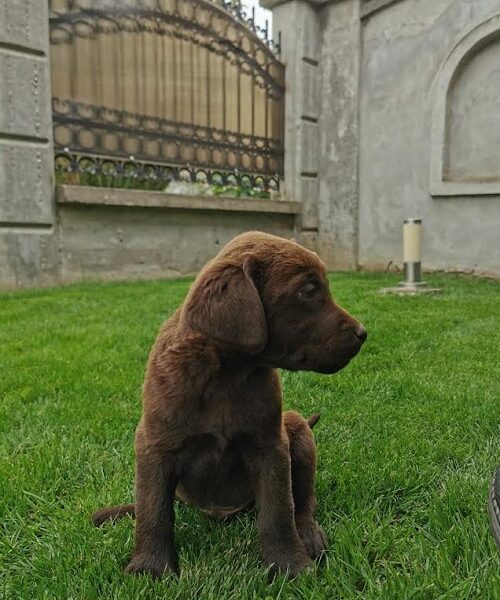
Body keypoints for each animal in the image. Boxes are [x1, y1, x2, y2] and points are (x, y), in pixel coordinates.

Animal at [93, 230, 368, 576]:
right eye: (308, 290)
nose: (363, 333)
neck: (226, 375)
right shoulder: (154, 444)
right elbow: (153, 509)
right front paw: (150, 568)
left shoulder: (270, 446)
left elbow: (278, 512)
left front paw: (290, 566)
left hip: (295, 427)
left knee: (304, 501)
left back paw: (308, 534)